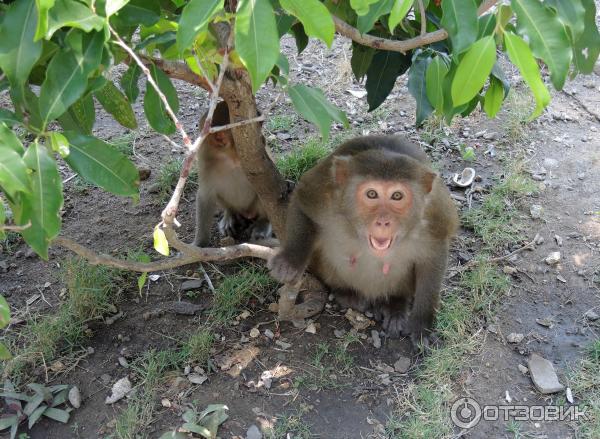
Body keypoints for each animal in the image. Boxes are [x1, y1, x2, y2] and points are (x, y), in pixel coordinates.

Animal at [270, 136, 458, 348]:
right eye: (371, 194)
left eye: (397, 196)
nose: (383, 221)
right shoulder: (326, 192)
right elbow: (302, 204)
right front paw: (290, 261)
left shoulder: (434, 214)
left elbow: (434, 255)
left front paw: (422, 322)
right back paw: (347, 294)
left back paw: (395, 304)